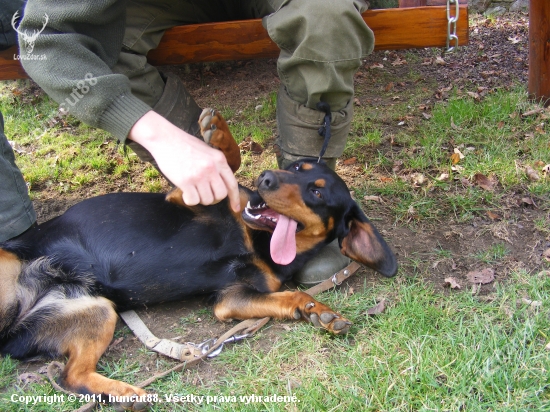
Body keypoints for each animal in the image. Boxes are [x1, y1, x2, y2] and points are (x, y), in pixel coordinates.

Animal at [0, 108, 396, 404]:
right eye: (297, 167)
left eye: (317, 193)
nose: (266, 178)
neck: (256, 238)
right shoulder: (186, 196)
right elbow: (224, 162)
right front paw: (215, 134)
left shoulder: (232, 299)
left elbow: (290, 297)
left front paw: (319, 312)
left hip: (97, 311)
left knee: (73, 376)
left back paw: (128, 396)